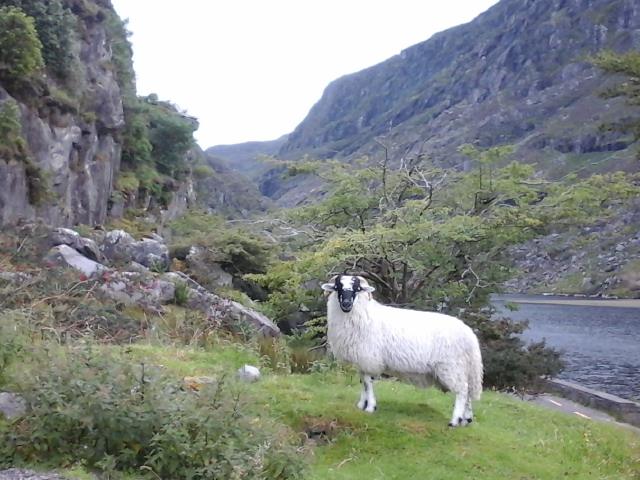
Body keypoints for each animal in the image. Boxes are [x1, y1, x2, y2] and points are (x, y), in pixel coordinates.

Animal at [321, 274, 483, 427]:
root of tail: (470, 335)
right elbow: (363, 382)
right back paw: (466, 419)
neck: (363, 313)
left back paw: (455, 421)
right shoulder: (362, 361)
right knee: (468, 392)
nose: (346, 304)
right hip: (464, 369)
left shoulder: (369, 358)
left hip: (452, 367)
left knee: (462, 391)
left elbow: (367, 383)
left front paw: (370, 407)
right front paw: (362, 405)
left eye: (357, 288)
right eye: (337, 287)